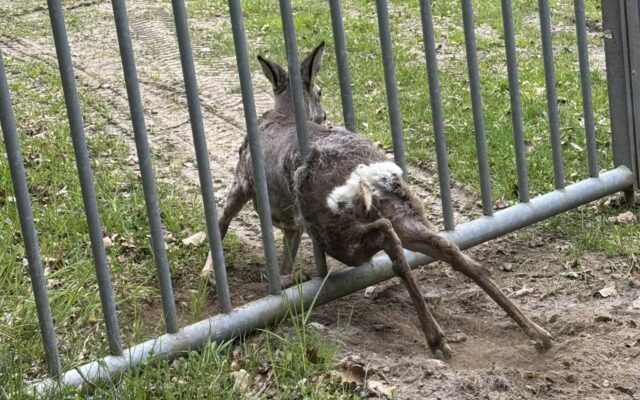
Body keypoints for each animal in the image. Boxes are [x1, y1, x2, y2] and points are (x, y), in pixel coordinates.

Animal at [201, 41, 553, 358]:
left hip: (332, 228)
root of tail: (367, 172)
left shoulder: (242, 180)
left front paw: (209, 276)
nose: (324, 113)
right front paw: (287, 279)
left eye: (320, 90)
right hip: (405, 210)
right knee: (455, 253)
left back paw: (438, 338)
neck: (282, 114)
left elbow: (221, 221)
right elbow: (284, 254)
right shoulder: (291, 222)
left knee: (386, 236)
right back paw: (537, 332)